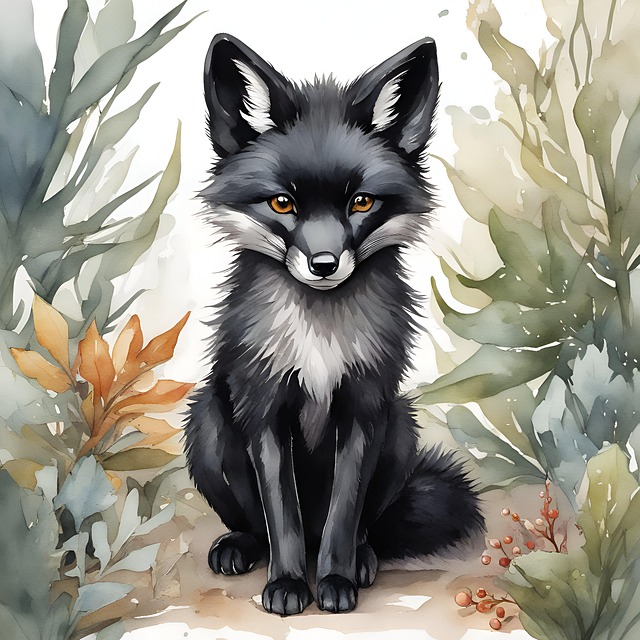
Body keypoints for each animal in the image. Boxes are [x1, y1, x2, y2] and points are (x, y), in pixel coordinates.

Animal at [185, 33, 484, 616]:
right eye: (283, 203)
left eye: (361, 202)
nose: (324, 265)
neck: (318, 340)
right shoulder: (265, 411)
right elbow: (283, 516)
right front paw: (287, 585)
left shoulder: (364, 409)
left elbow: (344, 515)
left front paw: (336, 581)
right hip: (206, 422)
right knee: (259, 527)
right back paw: (240, 548)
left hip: (401, 425)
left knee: (363, 527)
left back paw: (364, 559)